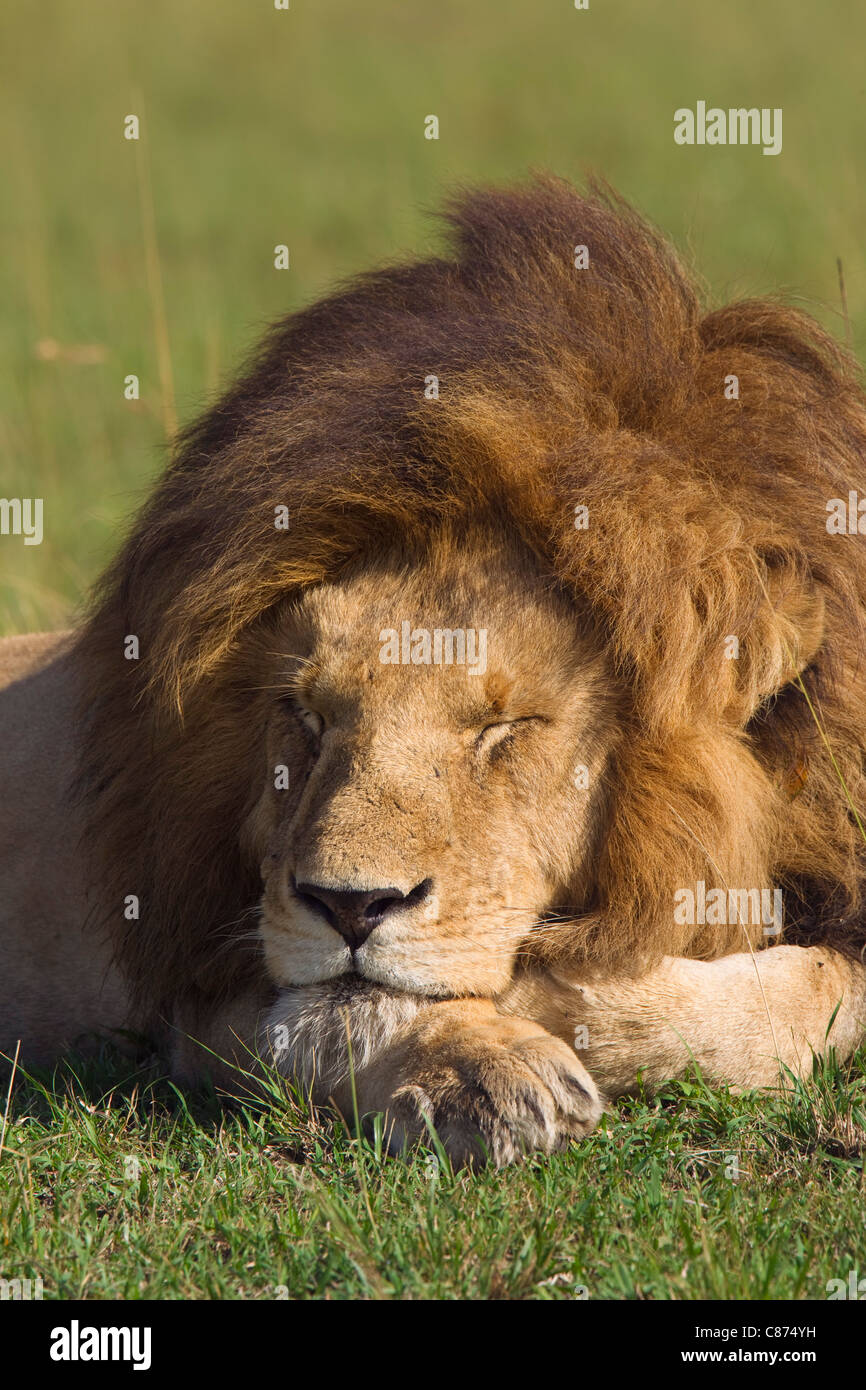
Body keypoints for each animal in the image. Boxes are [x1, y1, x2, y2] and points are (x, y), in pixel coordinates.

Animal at [2, 176, 866, 1167]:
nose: (348, 906)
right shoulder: (200, 992)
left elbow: (811, 999)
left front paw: (560, 995)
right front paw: (480, 1065)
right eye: (306, 715)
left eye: (503, 729)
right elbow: (328, 1013)